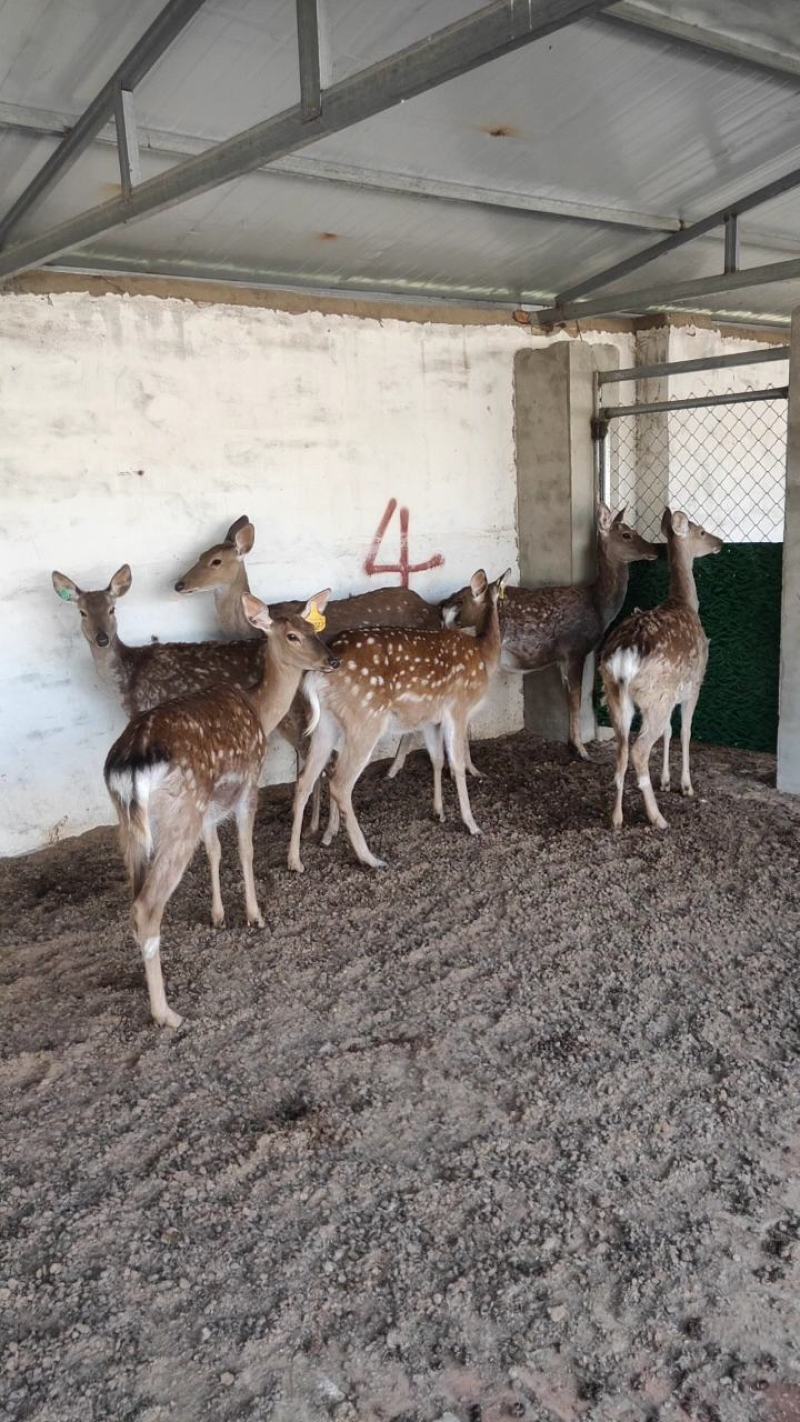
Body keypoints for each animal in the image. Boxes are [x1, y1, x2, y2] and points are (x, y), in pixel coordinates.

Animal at [104, 594, 338, 1029]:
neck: (260, 709)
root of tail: (128, 765)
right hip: (180, 811)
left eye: (314, 627)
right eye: (292, 635)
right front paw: (254, 915)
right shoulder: (249, 781)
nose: (331, 660)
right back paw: (166, 1014)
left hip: (131, 824)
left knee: (134, 900)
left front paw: (218, 916)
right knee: (147, 906)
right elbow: (245, 850)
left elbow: (214, 851)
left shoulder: (210, 805)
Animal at [287, 567, 511, 874]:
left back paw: (295, 860)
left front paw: (439, 812)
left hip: (326, 725)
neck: (483, 655)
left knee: (304, 782)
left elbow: (437, 759)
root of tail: (317, 675)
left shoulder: (431, 718)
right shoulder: (458, 709)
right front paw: (472, 824)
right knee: (340, 782)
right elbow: (457, 765)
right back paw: (369, 858)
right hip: (365, 719)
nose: (442, 605)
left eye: (460, 598)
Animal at [438, 504, 659, 761]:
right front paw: (582, 750)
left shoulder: (562, 659)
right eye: (626, 535)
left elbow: (568, 699)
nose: (655, 549)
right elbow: (576, 699)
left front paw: (571, 745)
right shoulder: (575, 649)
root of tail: (448, 609)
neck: (598, 607)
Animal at [599, 508, 723, 831]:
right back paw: (657, 817)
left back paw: (616, 817)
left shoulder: (673, 695)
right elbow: (686, 731)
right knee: (639, 749)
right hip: (655, 697)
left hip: (617, 696)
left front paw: (666, 781)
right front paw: (685, 785)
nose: (720, 543)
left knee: (622, 748)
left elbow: (669, 731)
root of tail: (624, 656)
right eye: (701, 531)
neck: (685, 603)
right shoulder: (694, 685)